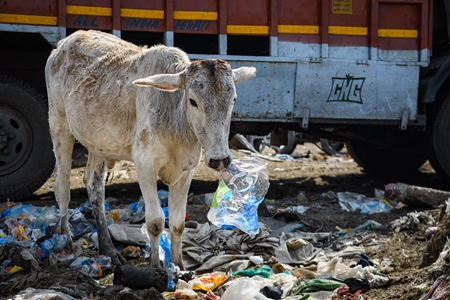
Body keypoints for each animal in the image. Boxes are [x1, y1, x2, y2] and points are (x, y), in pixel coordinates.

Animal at [45, 30, 256, 268]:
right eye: (193, 101)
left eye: (233, 99)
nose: (220, 159)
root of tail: (65, 42)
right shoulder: (144, 165)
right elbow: (155, 222)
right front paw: (156, 267)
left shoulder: (186, 170)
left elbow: (177, 223)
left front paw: (179, 266)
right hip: (59, 126)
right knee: (62, 184)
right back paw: (68, 241)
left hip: (96, 143)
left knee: (94, 186)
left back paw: (109, 249)